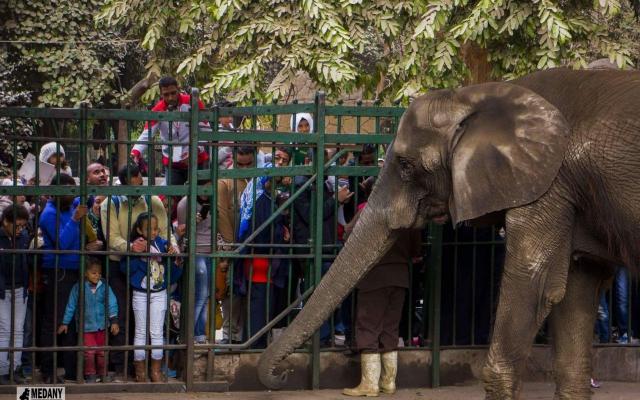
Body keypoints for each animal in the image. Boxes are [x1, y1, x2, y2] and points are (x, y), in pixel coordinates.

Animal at [256, 67, 640, 398]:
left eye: (405, 165)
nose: (281, 376)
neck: (477, 96)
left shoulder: (546, 186)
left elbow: (535, 285)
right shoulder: (568, 193)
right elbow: (574, 292)